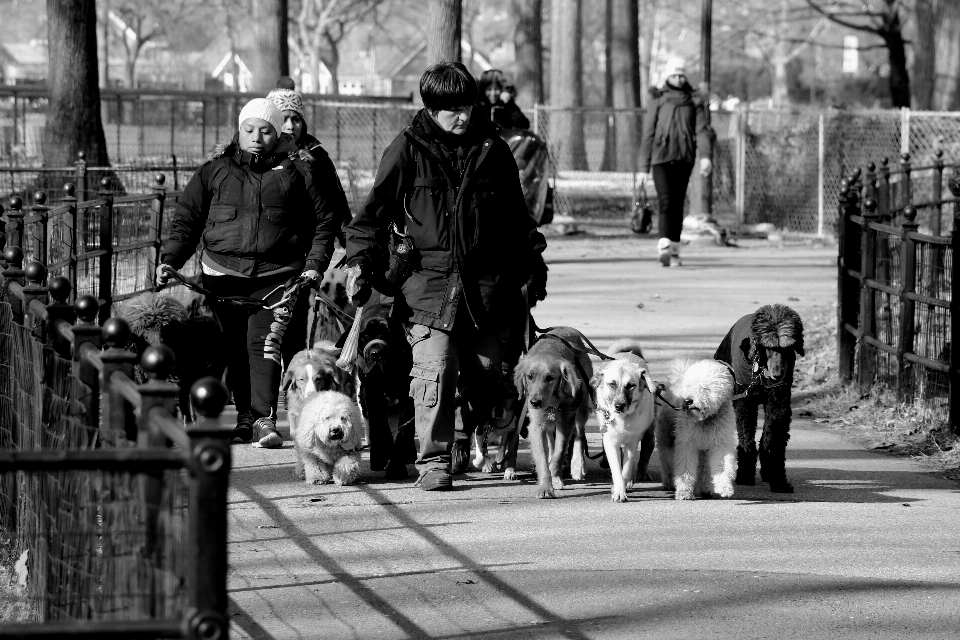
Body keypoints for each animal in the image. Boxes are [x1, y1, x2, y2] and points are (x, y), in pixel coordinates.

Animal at [510, 328, 592, 498]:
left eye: (550, 378)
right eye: (530, 376)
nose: (535, 402)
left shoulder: (566, 421)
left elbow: (559, 454)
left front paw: (555, 479)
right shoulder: (536, 426)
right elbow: (543, 458)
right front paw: (545, 487)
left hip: (581, 407)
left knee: (580, 434)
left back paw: (578, 466)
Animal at [592, 338, 660, 502]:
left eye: (630, 386)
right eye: (612, 384)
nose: (619, 406)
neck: (623, 419)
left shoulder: (632, 442)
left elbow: (627, 468)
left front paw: (624, 484)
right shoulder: (610, 441)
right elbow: (616, 469)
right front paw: (618, 491)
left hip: (648, 434)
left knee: (644, 454)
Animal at [656, 360, 740, 500]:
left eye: (704, 387)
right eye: (689, 386)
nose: (687, 401)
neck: (705, 420)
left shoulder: (720, 443)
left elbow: (722, 466)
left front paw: (724, 488)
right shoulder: (686, 443)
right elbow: (685, 467)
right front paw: (684, 492)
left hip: (704, 449)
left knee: (704, 468)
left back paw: (706, 489)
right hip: (667, 438)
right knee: (665, 460)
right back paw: (669, 482)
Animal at [712, 302, 804, 492]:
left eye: (786, 348)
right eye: (769, 347)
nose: (778, 374)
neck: (761, 370)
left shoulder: (778, 403)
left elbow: (774, 439)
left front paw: (779, 480)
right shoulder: (745, 402)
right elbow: (746, 437)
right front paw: (745, 474)